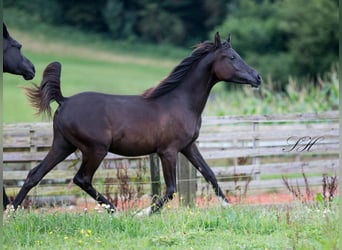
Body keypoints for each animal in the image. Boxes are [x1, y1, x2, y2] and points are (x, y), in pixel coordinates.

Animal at [12, 31, 260, 215]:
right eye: (232, 58)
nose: (257, 77)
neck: (180, 102)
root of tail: (64, 100)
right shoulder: (168, 151)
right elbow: (171, 189)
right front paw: (142, 213)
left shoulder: (188, 147)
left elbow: (210, 174)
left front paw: (229, 206)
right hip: (95, 149)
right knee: (81, 178)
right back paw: (115, 210)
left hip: (63, 145)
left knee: (34, 174)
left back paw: (11, 213)